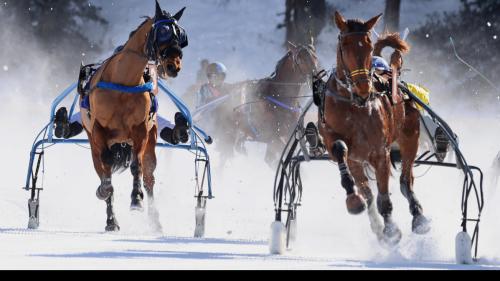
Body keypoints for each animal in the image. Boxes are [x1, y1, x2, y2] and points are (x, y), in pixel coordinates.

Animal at [83, 1, 188, 231]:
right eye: (163, 31)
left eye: (182, 36)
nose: (174, 65)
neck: (123, 82)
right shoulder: (98, 129)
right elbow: (106, 167)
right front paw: (104, 191)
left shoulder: (140, 130)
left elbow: (136, 166)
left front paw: (136, 199)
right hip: (94, 143)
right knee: (102, 167)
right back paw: (111, 219)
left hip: (150, 139)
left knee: (148, 176)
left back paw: (154, 219)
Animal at [318, 11, 432, 243]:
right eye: (344, 44)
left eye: (369, 45)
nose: (363, 88)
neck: (354, 104)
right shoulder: (342, 146)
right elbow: (340, 150)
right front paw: (354, 201)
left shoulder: (380, 152)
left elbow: (384, 196)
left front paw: (391, 230)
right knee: (369, 190)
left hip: (410, 135)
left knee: (405, 180)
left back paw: (418, 217)